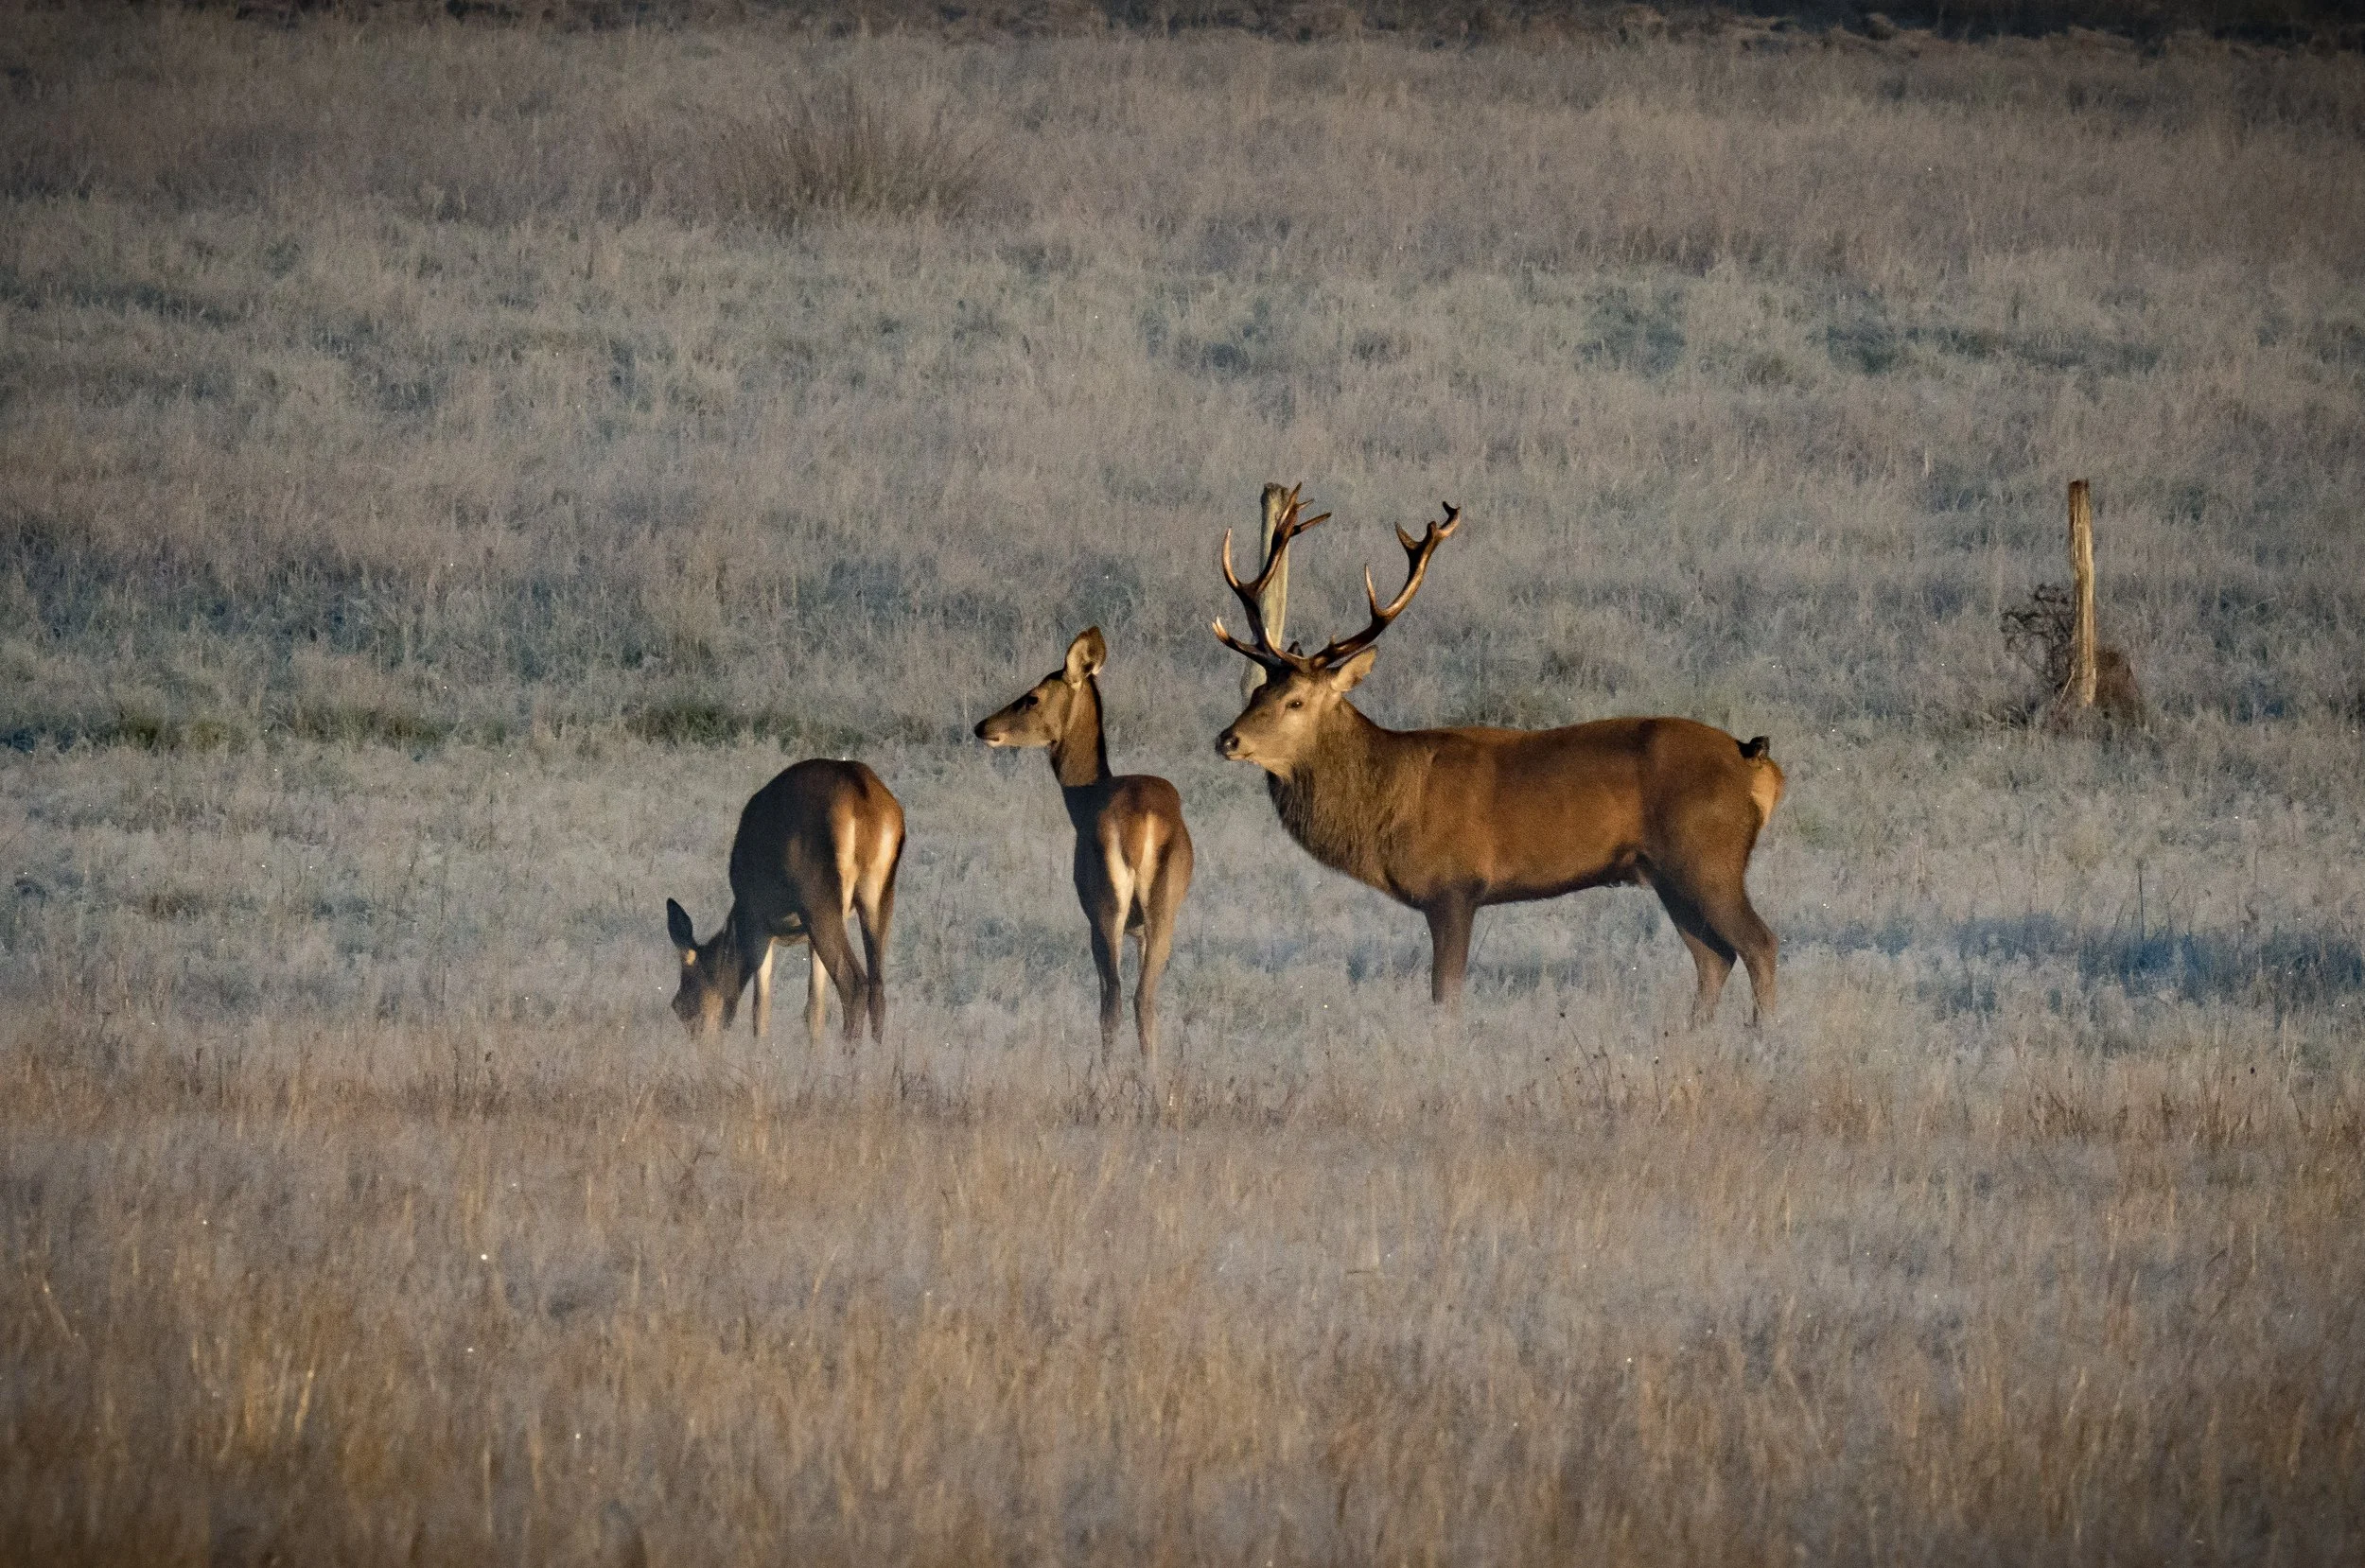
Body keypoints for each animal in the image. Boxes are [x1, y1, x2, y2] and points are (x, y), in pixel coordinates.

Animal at [664, 757, 904, 1044]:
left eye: (679, 1006)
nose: (698, 1045)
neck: (737, 918)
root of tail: (863, 795)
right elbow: (814, 1010)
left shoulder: (757, 919)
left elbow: (760, 1008)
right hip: (879, 894)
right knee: (877, 989)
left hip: (817, 897)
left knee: (855, 983)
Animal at [975, 627, 1195, 1066]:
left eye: (1032, 697)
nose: (982, 726)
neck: (1083, 798)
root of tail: (1140, 823)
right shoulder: (1138, 929)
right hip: (1147, 905)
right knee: (1137, 998)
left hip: (1112, 905)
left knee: (1118, 997)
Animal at [1211, 486, 1785, 1025]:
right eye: (1257, 690)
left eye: (1296, 700)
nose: (1227, 740)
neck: (1392, 799)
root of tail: (1758, 763)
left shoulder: (1454, 885)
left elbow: (1446, 994)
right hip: (1669, 872)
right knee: (1713, 956)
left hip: (1707, 856)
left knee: (1758, 944)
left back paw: (1762, 1038)